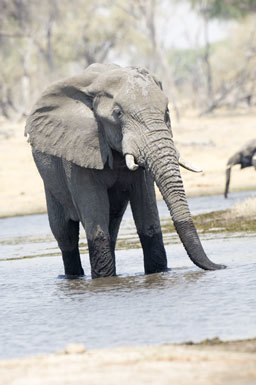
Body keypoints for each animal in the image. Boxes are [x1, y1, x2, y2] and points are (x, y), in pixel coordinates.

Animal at [25, 64, 226, 278]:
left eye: (166, 112)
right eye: (117, 113)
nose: (222, 266)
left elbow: (148, 218)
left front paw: (158, 273)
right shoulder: (78, 151)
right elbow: (96, 226)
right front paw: (104, 280)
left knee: (112, 224)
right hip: (50, 179)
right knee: (65, 234)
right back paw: (73, 276)